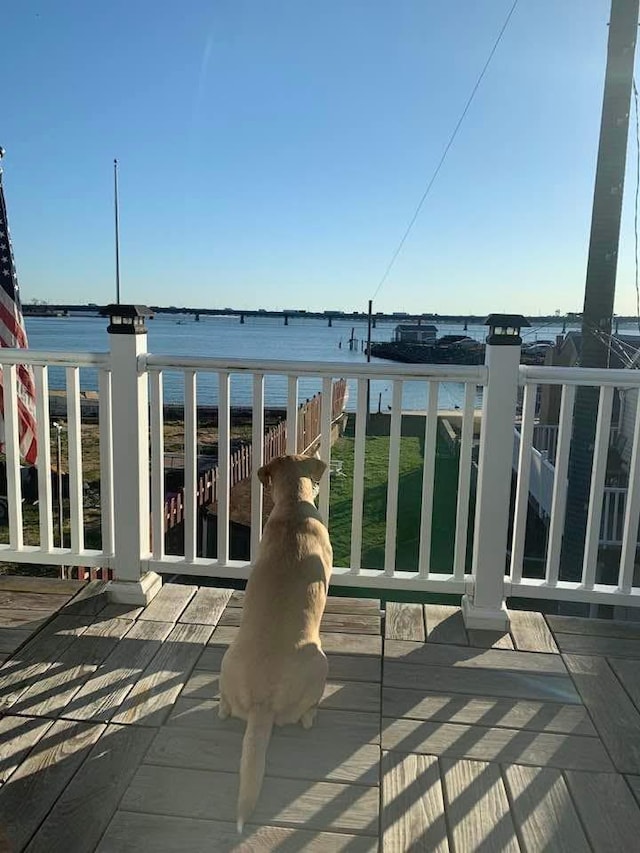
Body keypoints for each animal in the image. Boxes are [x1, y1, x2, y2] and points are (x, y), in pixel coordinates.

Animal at [219, 452, 332, 832]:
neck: (294, 506)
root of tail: (262, 703)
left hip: (228, 657)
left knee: (224, 706)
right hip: (320, 663)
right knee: (307, 712)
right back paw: (313, 715)